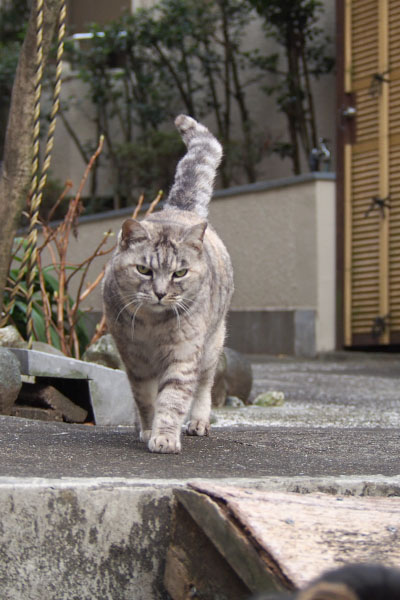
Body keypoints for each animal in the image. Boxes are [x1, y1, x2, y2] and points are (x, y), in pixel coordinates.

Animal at [103, 115, 233, 454]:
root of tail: (181, 208)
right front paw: (148, 429)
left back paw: (198, 422)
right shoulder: (135, 361)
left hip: (212, 345)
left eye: (180, 273)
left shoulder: (184, 355)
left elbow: (173, 399)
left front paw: (164, 437)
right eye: (144, 270)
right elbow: (146, 400)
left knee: (204, 386)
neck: (153, 326)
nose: (160, 293)